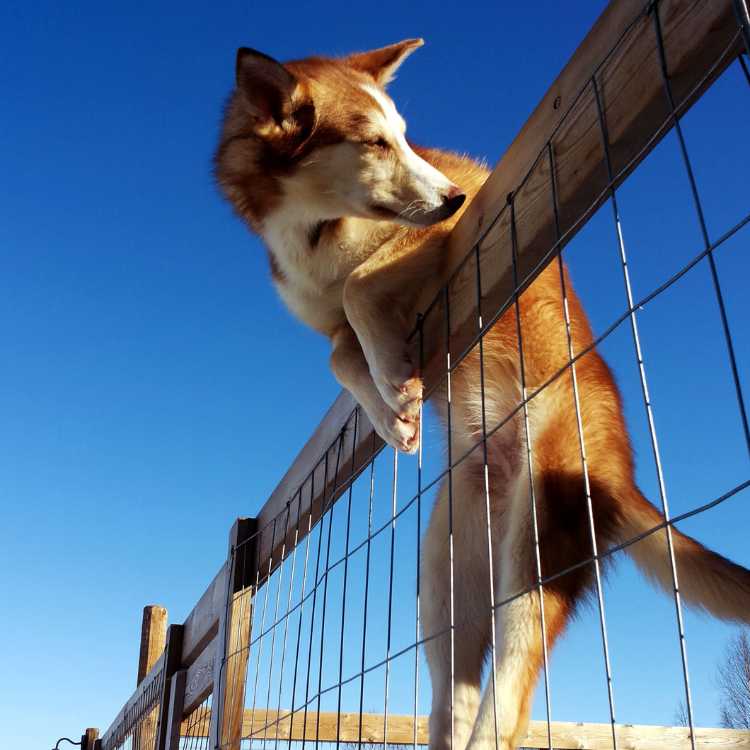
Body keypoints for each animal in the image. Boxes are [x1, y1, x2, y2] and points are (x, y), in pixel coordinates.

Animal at [214, 39, 750, 750]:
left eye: (405, 137)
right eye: (373, 142)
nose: (453, 196)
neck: (314, 229)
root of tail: (624, 474)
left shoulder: (446, 242)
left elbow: (359, 287)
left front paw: (394, 381)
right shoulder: (334, 323)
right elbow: (340, 352)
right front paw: (394, 409)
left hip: (539, 537)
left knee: (509, 697)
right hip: (446, 578)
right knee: (456, 689)